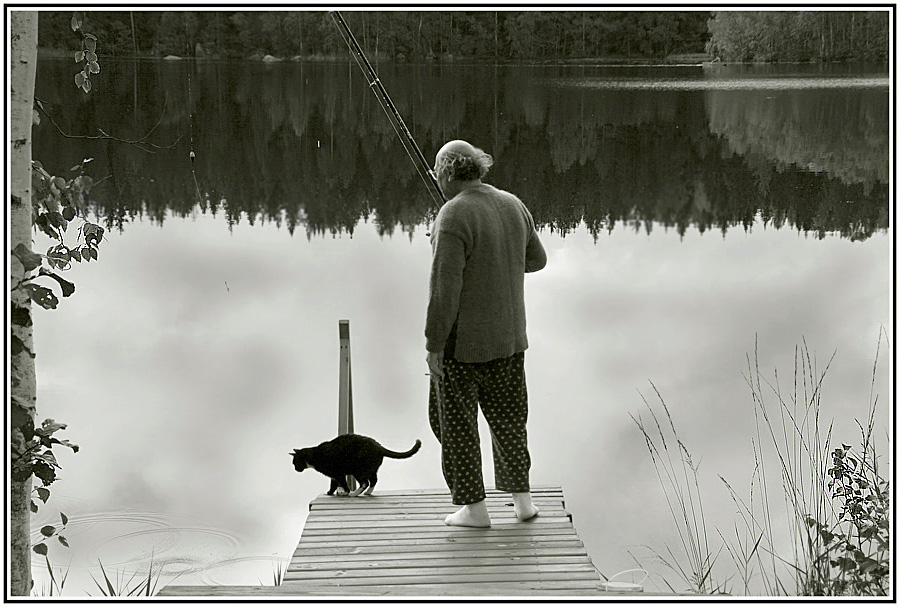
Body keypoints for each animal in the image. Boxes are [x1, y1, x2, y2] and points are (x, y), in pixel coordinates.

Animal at [294, 434, 424, 496]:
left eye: (295, 462)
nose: (295, 469)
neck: (315, 455)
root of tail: (379, 446)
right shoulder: (333, 475)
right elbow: (333, 484)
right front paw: (330, 493)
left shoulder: (338, 473)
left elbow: (343, 483)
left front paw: (345, 492)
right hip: (372, 469)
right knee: (374, 480)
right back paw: (367, 493)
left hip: (358, 469)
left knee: (365, 482)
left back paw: (354, 493)